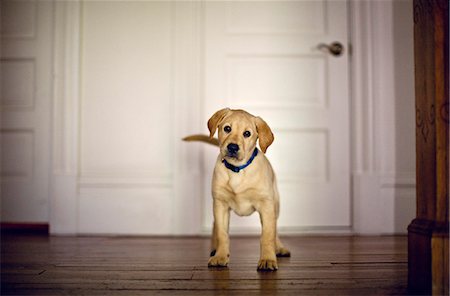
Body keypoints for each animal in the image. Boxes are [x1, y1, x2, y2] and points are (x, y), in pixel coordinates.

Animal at [185, 108, 290, 270]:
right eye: (227, 128)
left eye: (247, 133)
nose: (233, 147)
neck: (237, 169)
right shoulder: (220, 204)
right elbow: (222, 233)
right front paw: (220, 256)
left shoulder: (266, 205)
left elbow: (267, 235)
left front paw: (267, 259)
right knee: (215, 226)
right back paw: (214, 248)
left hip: (276, 204)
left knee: (275, 228)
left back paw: (279, 248)